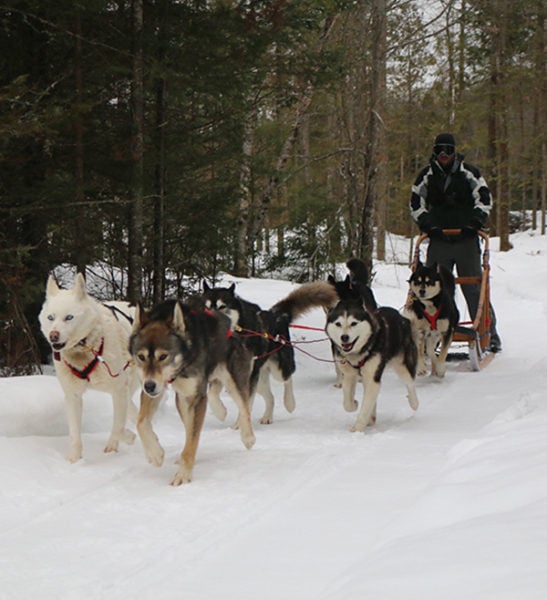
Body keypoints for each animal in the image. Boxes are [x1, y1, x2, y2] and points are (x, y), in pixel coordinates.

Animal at [38, 274, 137, 462]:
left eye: (69, 317)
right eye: (51, 318)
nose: (53, 336)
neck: (86, 348)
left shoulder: (118, 390)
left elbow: (118, 427)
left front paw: (122, 440)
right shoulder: (72, 396)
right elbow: (75, 433)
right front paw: (74, 459)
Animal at [130, 298, 256, 486]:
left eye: (163, 356)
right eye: (141, 357)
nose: (149, 386)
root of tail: (230, 326)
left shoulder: (197, 396)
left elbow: (193, 438)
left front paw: (183, 474)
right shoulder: (156, 390)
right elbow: (141, 422)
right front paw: (155, 453)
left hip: (233, 379)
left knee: (244, 407)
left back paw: (247, 437)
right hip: (182, 399)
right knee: (191, 427)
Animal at [326, 300, 420, 432]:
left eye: (353, 323)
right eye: (338, 324)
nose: (344, 337)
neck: (359, 353)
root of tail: (404, 320)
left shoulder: (372, 377)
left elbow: (365, 407)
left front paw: (357, 429)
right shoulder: (349, 375)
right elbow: (347, 403)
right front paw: (354, 404)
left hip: (402, 367)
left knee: (410, 383)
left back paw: (414, 403)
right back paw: (372, 417)